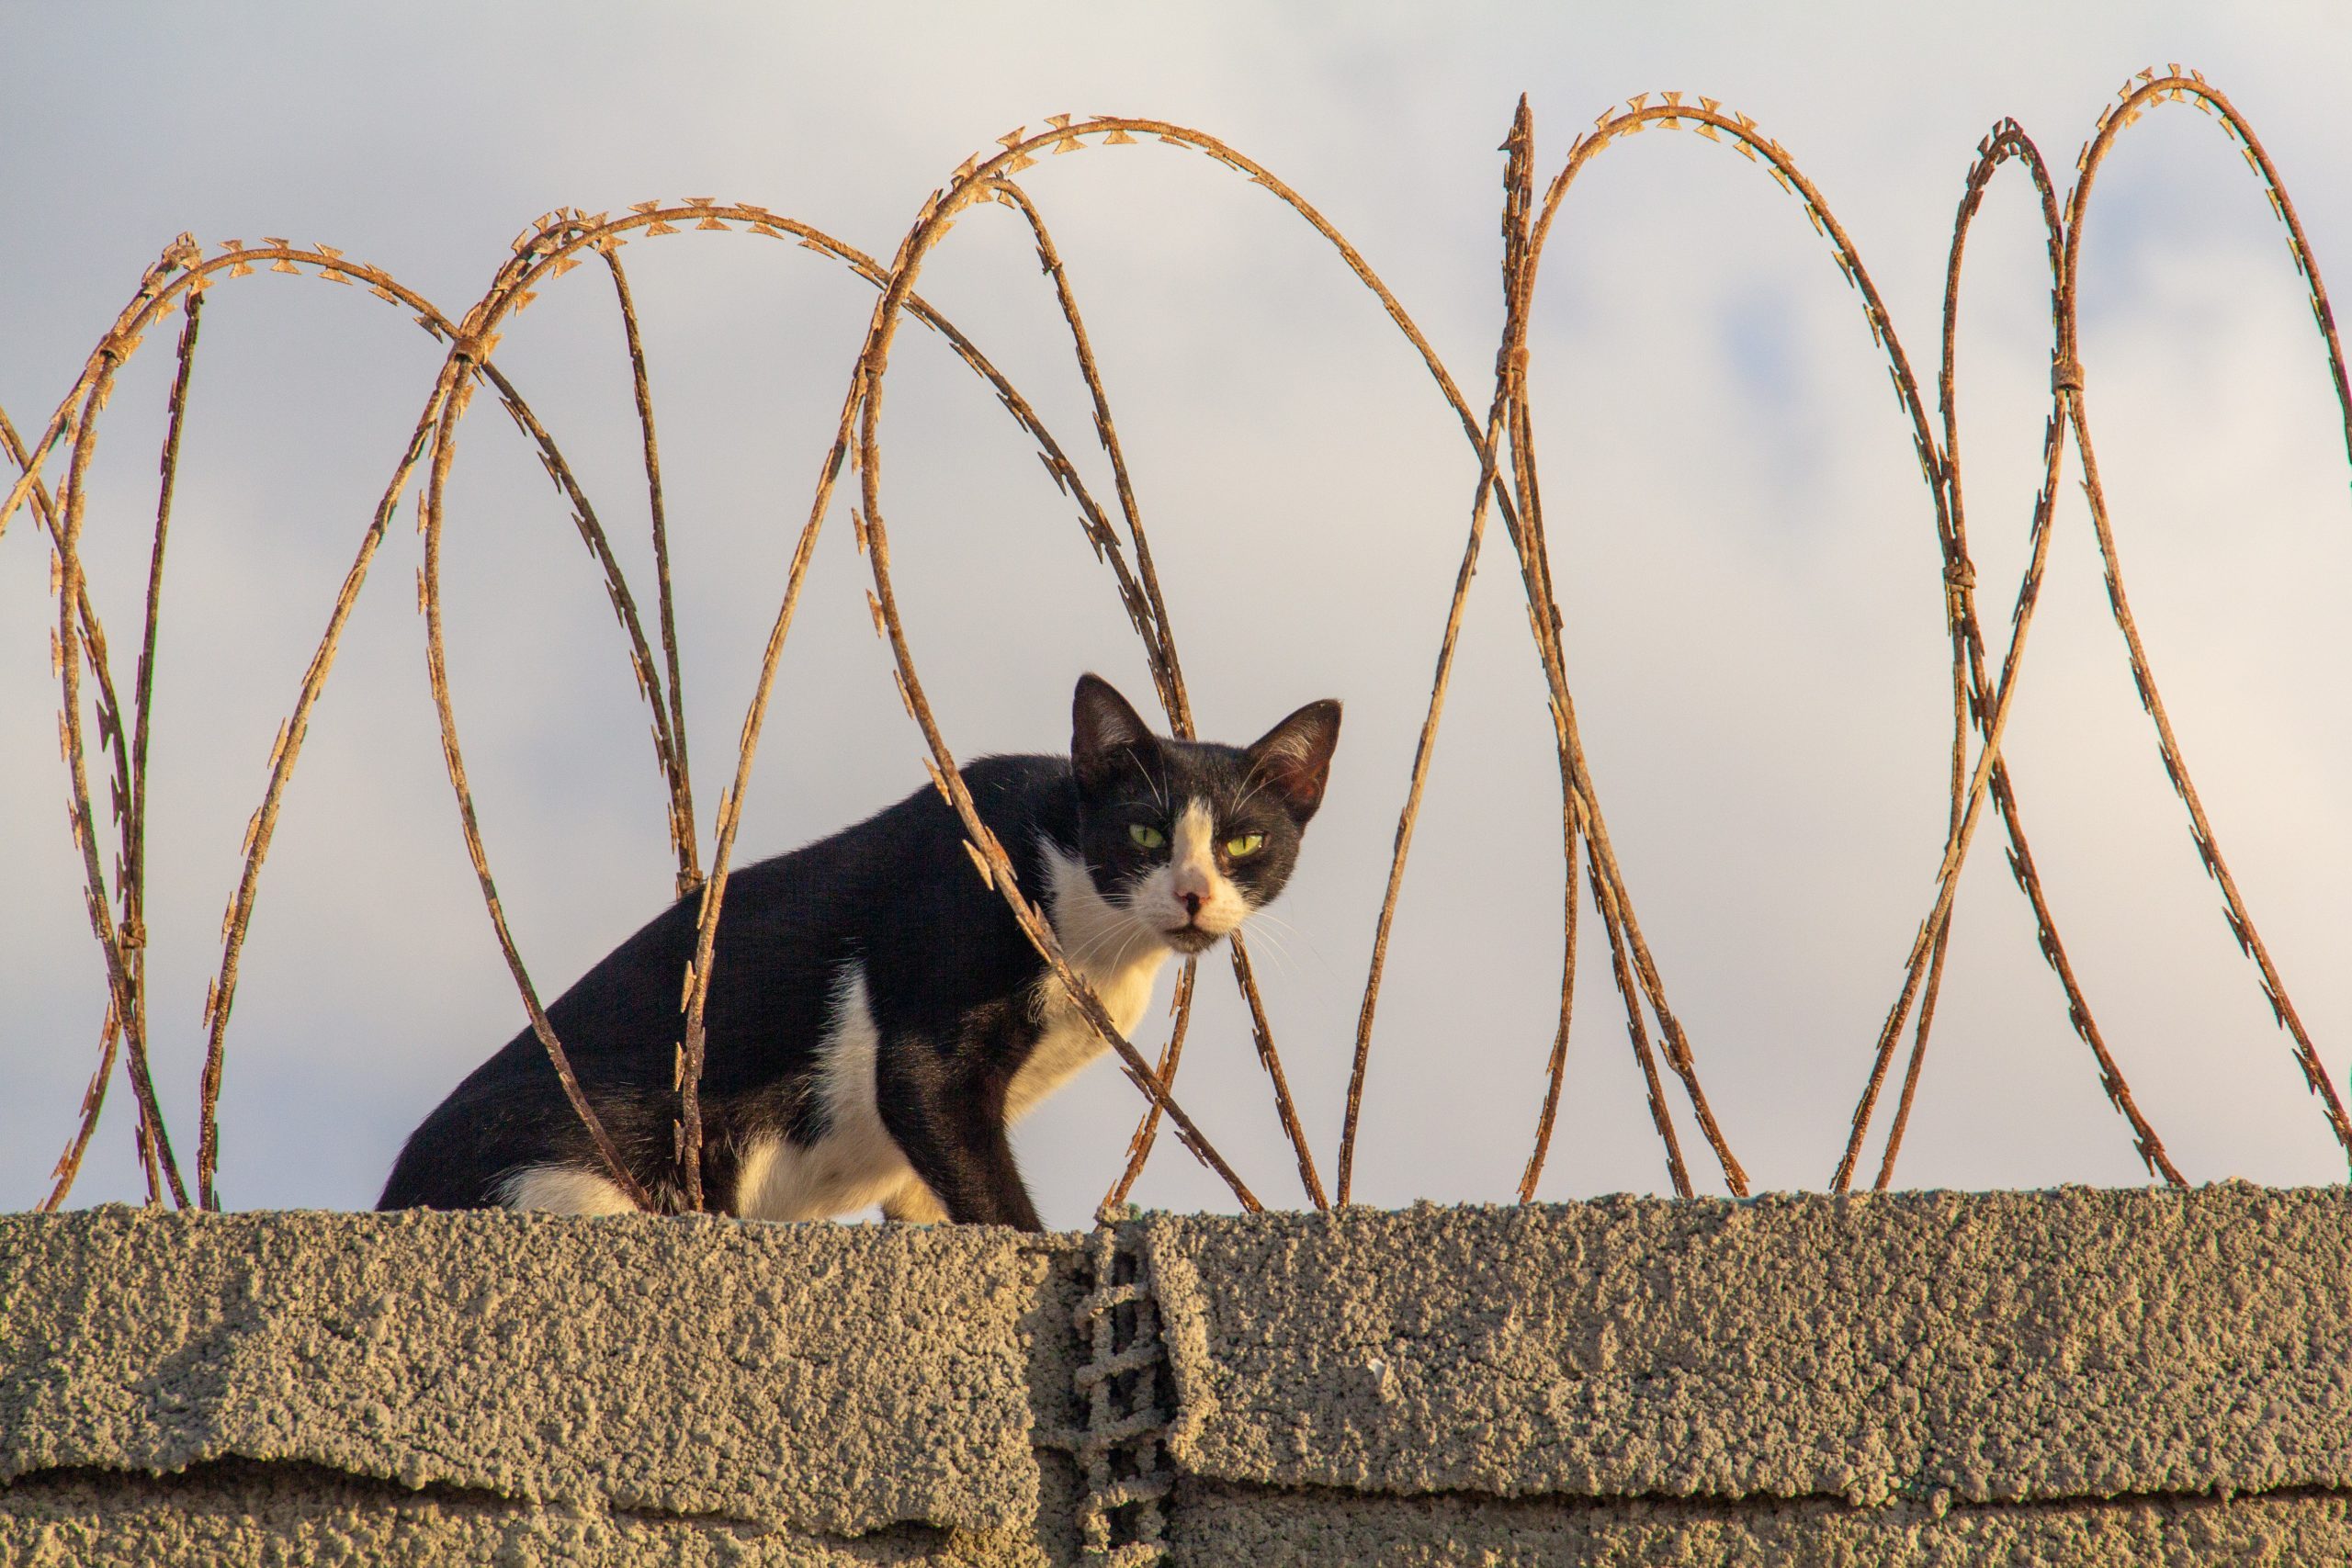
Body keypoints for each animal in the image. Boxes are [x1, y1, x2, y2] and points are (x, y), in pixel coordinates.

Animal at [374, 667, 1336, 1232]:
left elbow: (933, 1194)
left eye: (1244, 843)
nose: (1193, 893)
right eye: (1144, 831)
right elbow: (985, 1186)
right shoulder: (929, 1027)